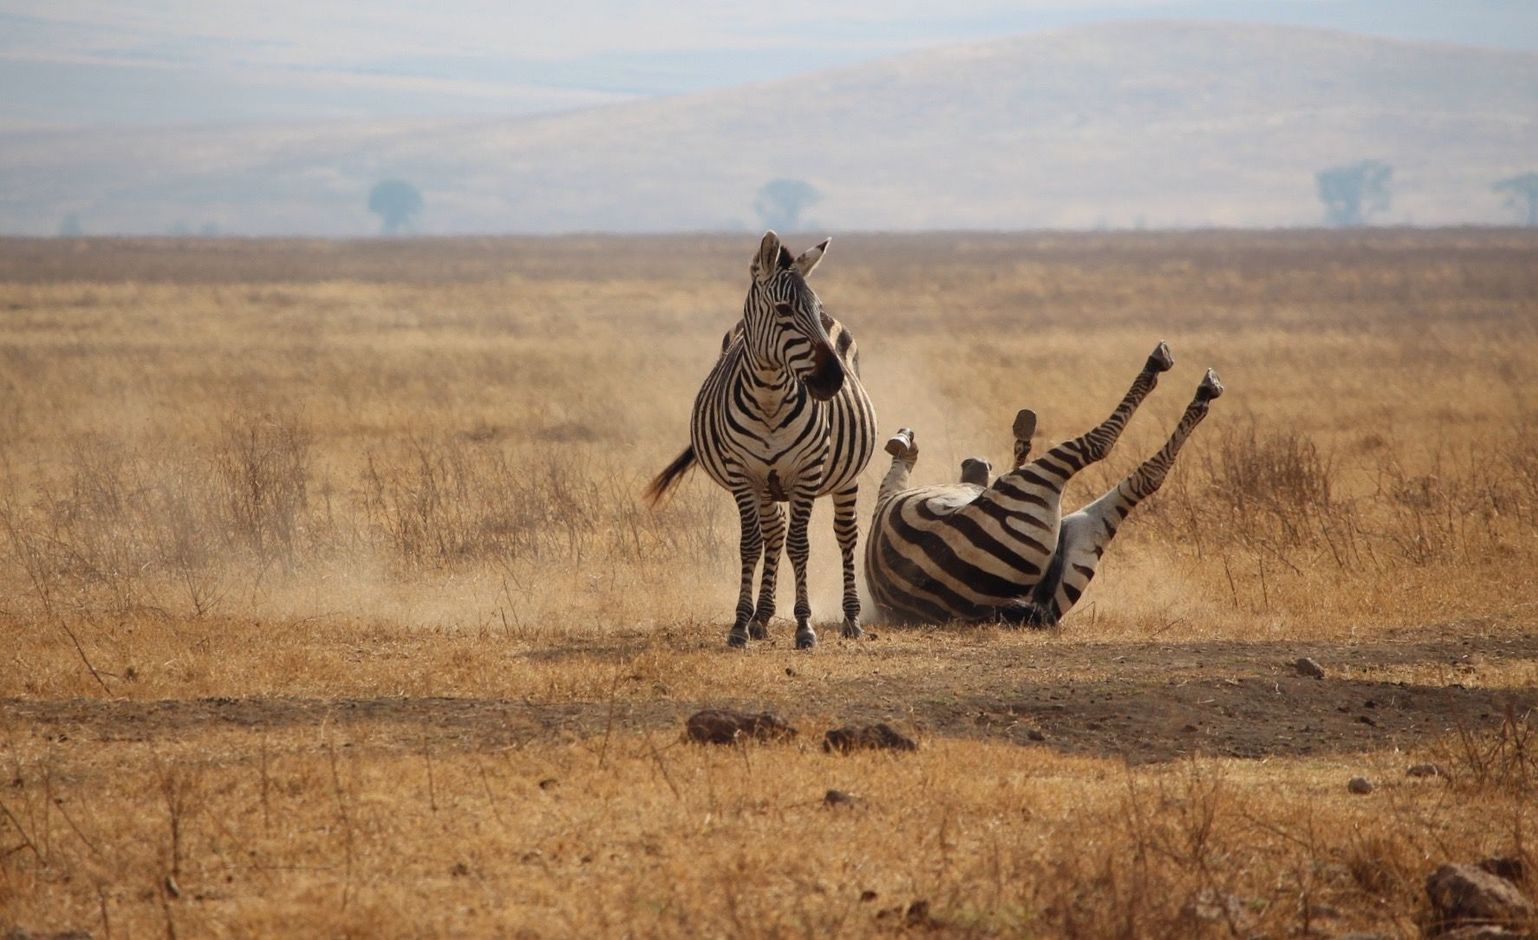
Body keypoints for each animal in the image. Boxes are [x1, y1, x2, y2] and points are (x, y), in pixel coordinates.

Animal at [646, 232, 877, 649]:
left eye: (816, 308)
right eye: (783, 309)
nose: (833, 379)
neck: (769, 397)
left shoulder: (806, 473)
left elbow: (800, 545)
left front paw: (805, 626)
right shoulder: (743, 474)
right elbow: (751, 544)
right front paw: (740, 623)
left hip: (845, 477)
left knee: (845, 535)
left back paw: (851, 618)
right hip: (767, 486)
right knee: (773, 533)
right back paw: (762, 616)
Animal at [866, 342, 1223, 626]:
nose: (976, 463)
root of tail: (996, 607)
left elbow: (900, 469)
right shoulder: (893, 493)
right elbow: (898, 468)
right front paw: (904, 443)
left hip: (1076, 551)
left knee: (1140, 480)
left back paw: (1201, 393)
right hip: (1034, 490)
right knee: (1103, 447)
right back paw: (1176, 375)